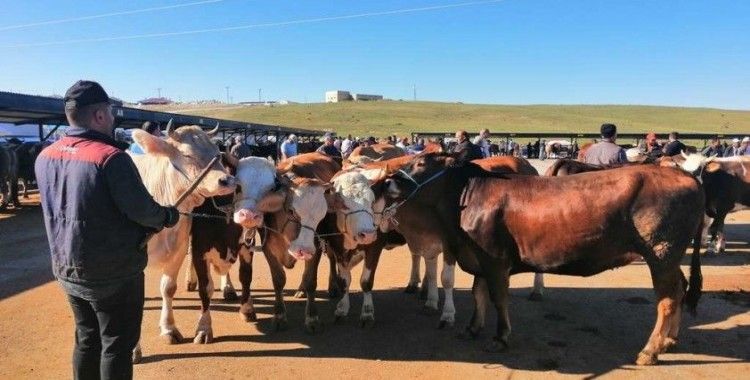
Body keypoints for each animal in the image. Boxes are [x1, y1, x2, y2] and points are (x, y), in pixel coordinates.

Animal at [128, 124, 236, 362]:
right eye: (187, 154)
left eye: (217, 151)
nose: (227, 180)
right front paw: (133, 349)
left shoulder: (179, 248)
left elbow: (168, 288)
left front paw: (169, 329)